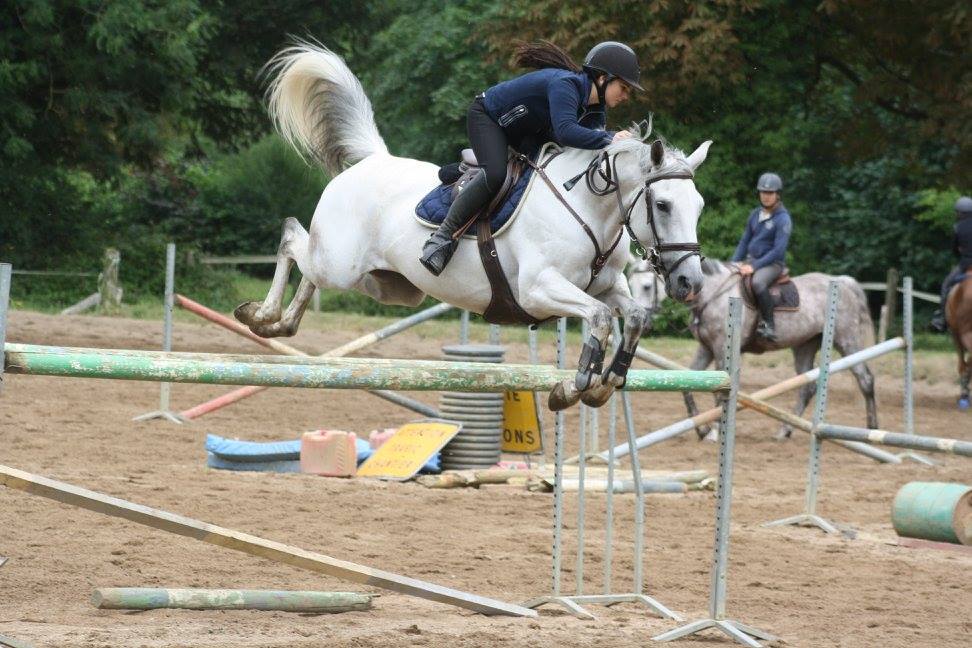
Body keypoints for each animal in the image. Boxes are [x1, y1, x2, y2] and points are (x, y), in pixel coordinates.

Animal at [236, 44, 712, 410]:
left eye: (699, 206)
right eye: (663, 205)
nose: (689, 282)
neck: (586, 207)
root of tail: (372, 160)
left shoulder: (607, 285)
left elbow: (633, 317)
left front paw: (606, 384)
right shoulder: (538, 290)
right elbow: (597, 318)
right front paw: (571, 388)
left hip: (387, 284)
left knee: (312, 271)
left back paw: (281, 325)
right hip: (341, 263)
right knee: (293, 239)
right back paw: (261, 315)